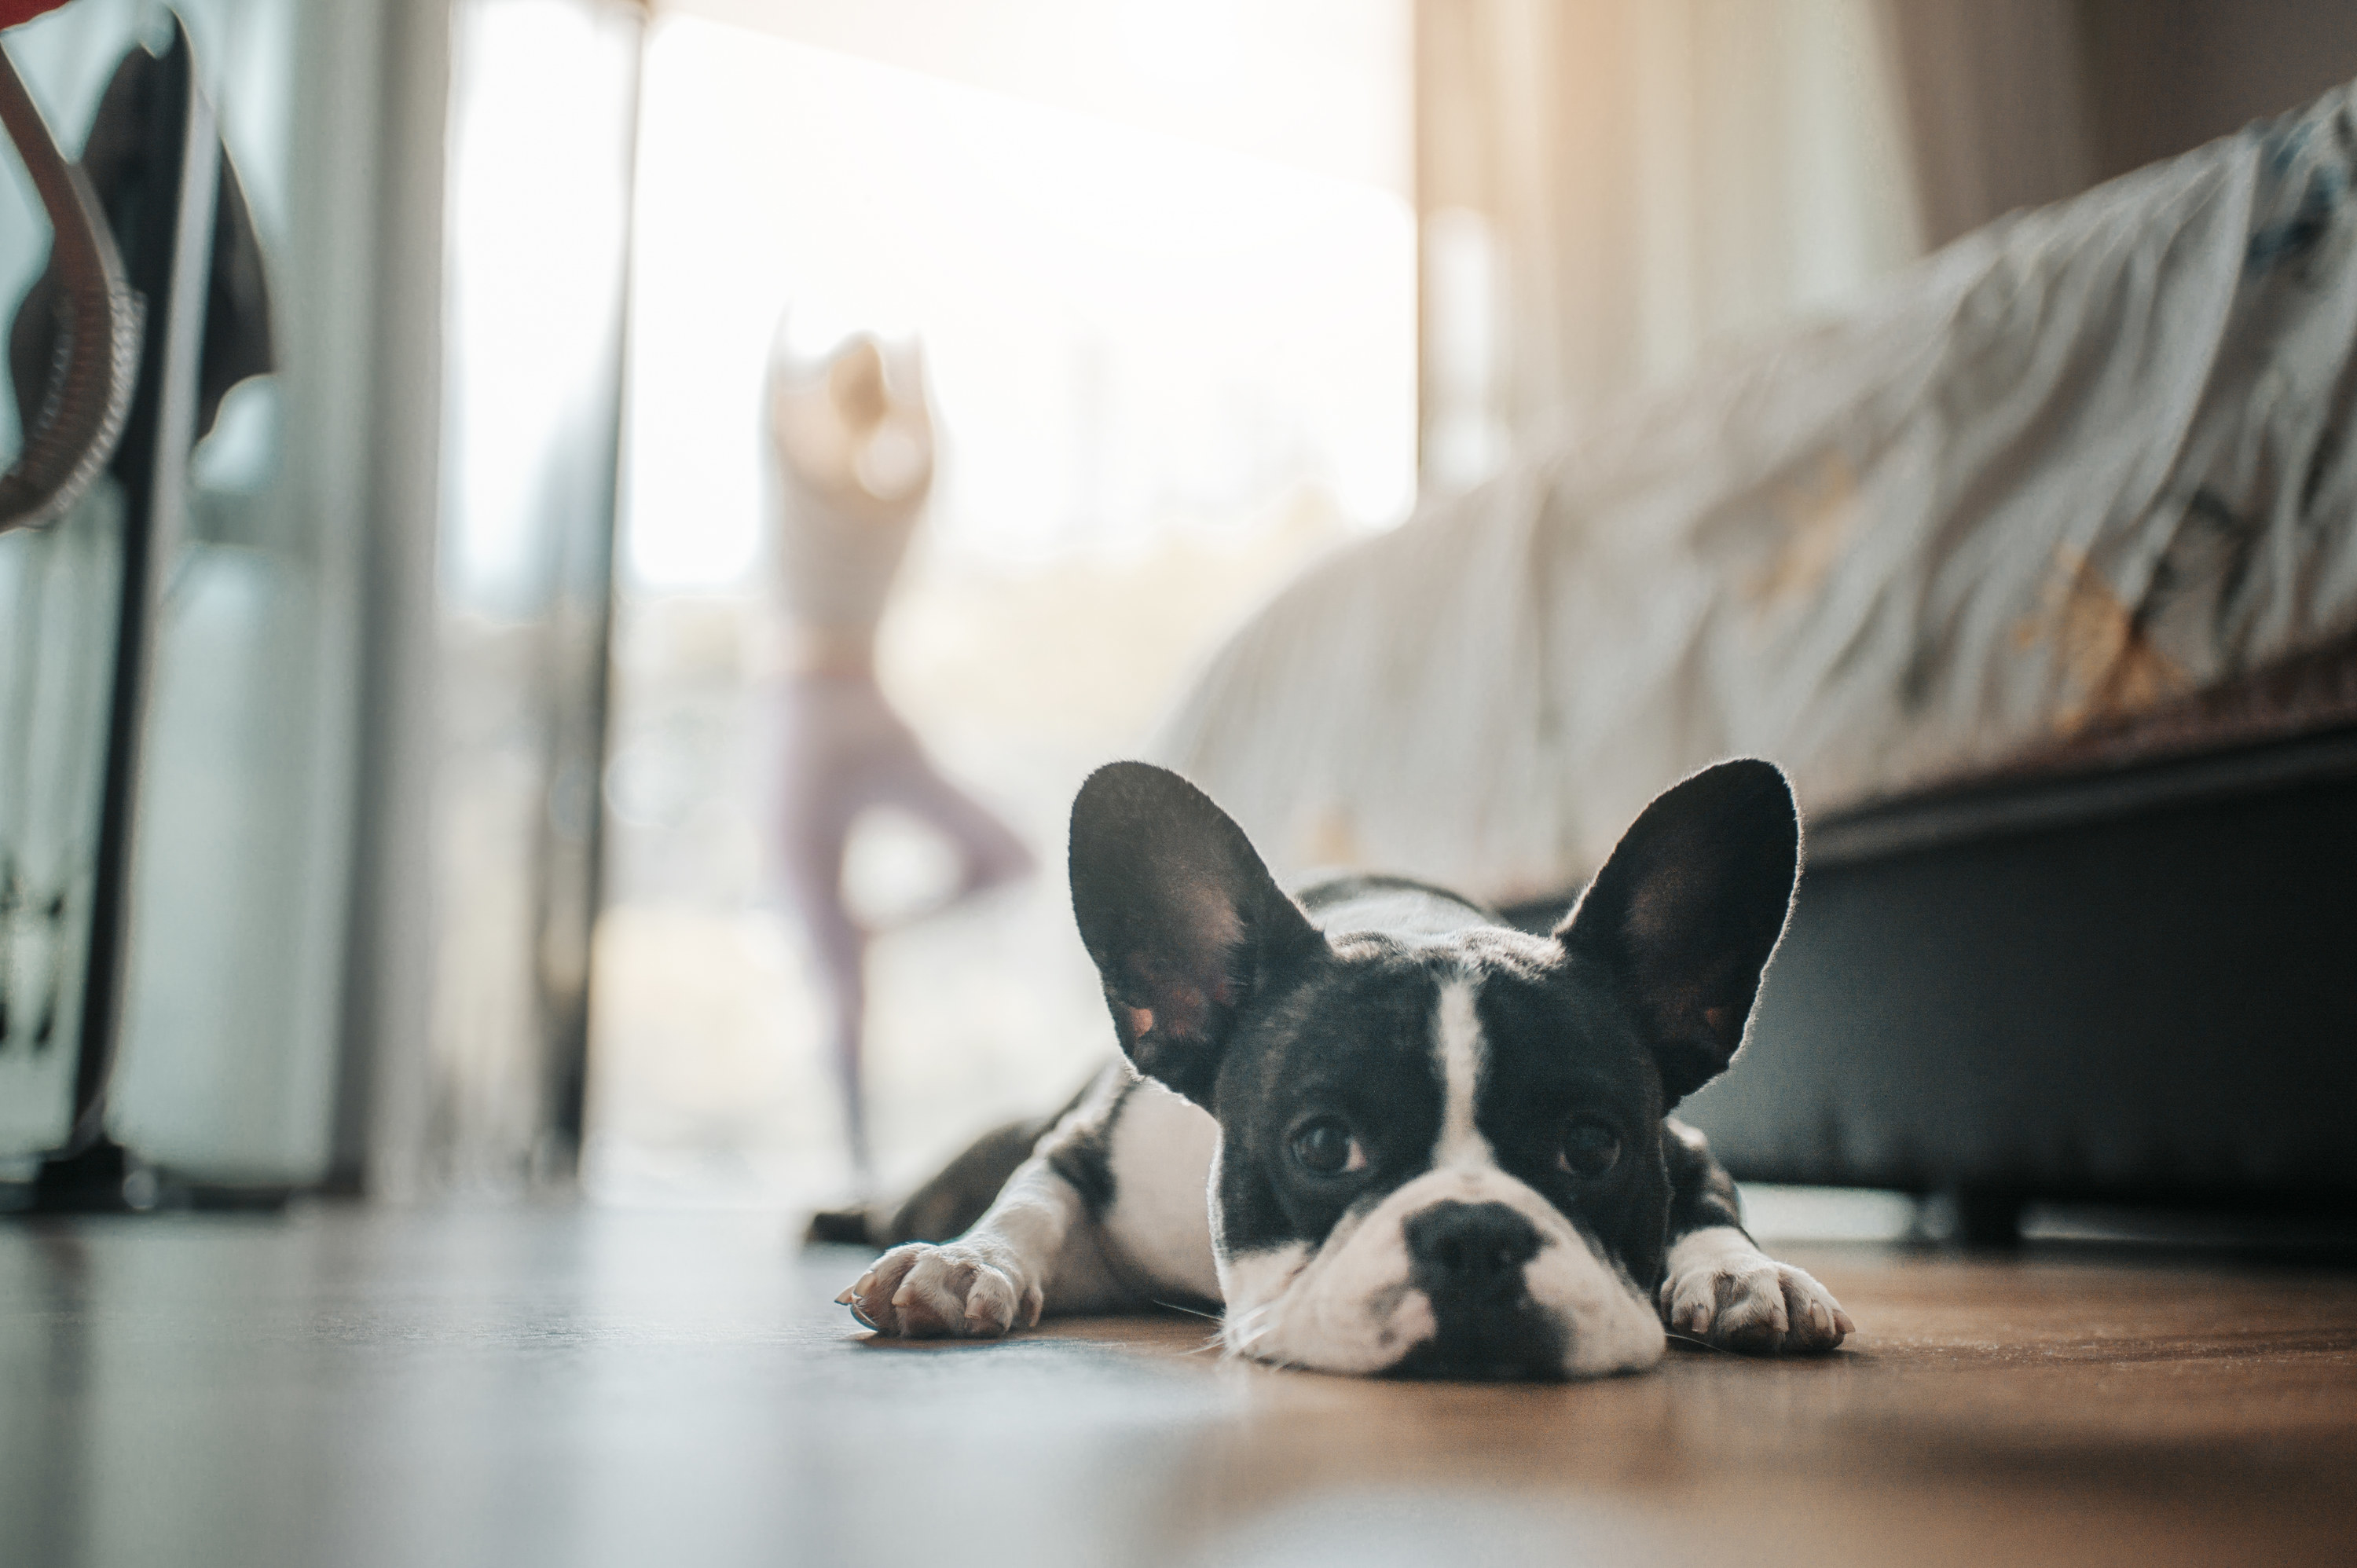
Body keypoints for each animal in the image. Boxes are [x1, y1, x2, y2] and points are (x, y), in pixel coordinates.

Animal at [839, 764, 1848, 1376]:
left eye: (1593, 1148)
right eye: (1324, 1146)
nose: (1473, 1234)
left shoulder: (1684, 1142)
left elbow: (1710, 1206)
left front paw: (1747, 1275)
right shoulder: (1088, 1149)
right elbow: (1031, 1204)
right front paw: (967, 1261)